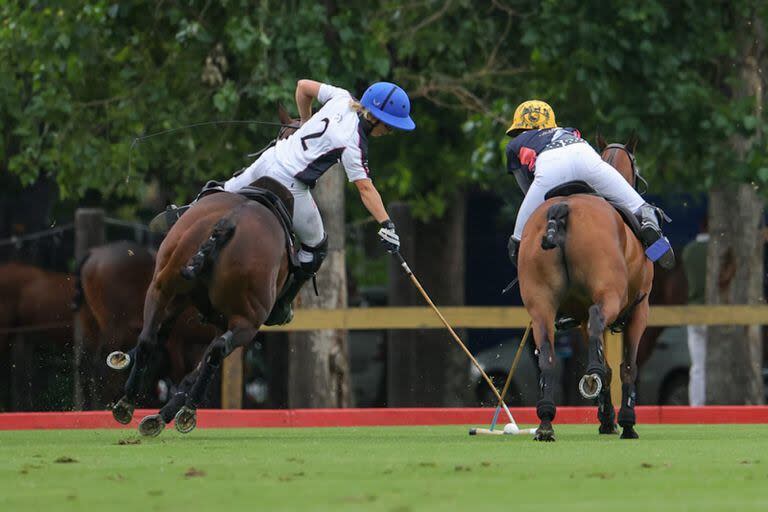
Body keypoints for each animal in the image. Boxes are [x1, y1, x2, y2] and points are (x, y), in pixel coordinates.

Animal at [112, 186, 292, 434]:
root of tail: (229, 221)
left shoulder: (184, 299)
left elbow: (164, 333)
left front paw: (158, 414)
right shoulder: (223, 321)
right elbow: (199, 364)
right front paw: (168, 413)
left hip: (162, 283)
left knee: (148, 337)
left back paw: (128, 402)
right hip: (248, 320)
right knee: (217, 349)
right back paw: (188, 411)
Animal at [520, 136, 652, 440]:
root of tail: (561, 209)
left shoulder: (577, 318)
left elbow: (609, 366)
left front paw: (607, 420)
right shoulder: (640, 309)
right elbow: (628, 367)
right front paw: (626, 422)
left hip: (540, 303)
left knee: (547, 354)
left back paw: (546, 422)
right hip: (610, 294)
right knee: (597, 321)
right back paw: (590, 379)